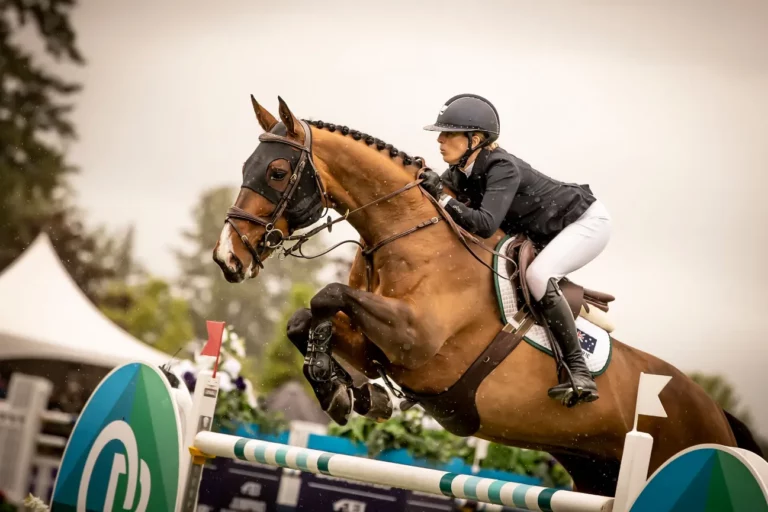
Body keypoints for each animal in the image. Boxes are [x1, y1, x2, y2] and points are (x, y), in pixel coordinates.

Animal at [212, 96, 760, 496]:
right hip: (593, 470)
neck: (406, 237)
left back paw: (579, 383)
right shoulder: (381, 343)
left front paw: (342, 388)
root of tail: (718, 415)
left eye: (277, 172)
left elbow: (328, 295)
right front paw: (348, 390)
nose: (226, 258)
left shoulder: (417, 341)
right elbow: (307, 318)